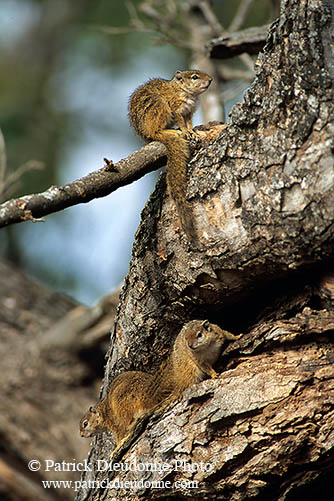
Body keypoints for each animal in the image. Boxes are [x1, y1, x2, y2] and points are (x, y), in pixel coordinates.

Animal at [129, 70, 213, 242]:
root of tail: (146, 135)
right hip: (159, 106)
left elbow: (189, 122)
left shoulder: (189, 112)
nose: (210, 80)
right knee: (157, 131)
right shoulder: (176, 108)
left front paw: (193, 132)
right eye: (194, 77)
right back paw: (171, 131)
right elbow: (181, 122)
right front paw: (185, 132)